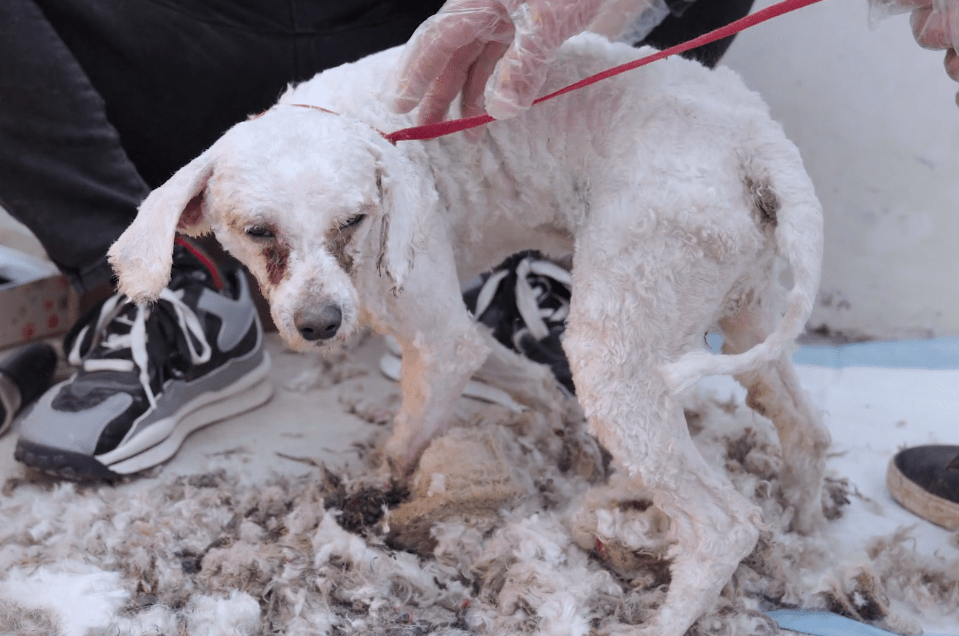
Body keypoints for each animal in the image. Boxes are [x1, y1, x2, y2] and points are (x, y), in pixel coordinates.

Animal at [109, 33, 832, 636]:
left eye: (353, 220)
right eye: (258, 231)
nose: (320, 326)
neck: (369, 125)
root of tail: (759, 142)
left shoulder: (430, 325)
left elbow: (403, 449)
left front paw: (375, 503)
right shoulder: (440, 332)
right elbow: (517, 370)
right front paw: (553, 420)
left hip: (623, 333)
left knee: (722, 525)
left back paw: (666, 619)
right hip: (740, 307)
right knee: (805, 429)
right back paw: (805, 532)